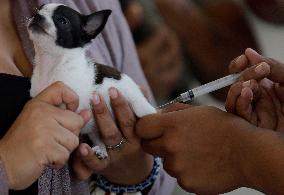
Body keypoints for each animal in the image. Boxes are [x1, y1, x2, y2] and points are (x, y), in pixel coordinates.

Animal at [27, 3, 155, 158]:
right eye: (36, 11)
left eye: (63, 21)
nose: (37, 16)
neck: (51, 64)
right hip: (95, 131)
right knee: (98, 138)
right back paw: (101, 150)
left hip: (139, 105)